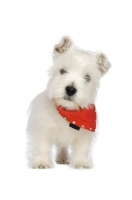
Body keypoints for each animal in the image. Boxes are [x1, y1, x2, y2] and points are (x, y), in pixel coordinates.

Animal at [26, 36, 111, 169]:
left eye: (87, 78)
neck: (68, 112)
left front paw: (81, 162)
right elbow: (41, 146)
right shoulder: (42, 128)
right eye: (63, 70)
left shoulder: (84, 134)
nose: (70, 89)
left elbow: (82, 148)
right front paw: (41, 162)